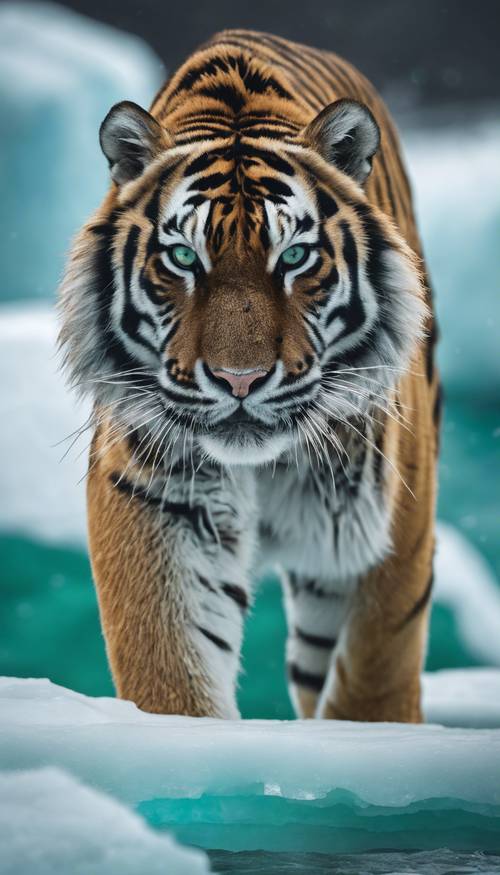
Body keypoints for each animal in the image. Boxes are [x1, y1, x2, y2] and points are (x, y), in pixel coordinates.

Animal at [59, 29, 442, 724]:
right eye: (184, 257)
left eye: (295, 256)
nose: (240, 381)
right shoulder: (158, 496)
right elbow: (170, 666)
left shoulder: (395, 518)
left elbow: (377, 675)